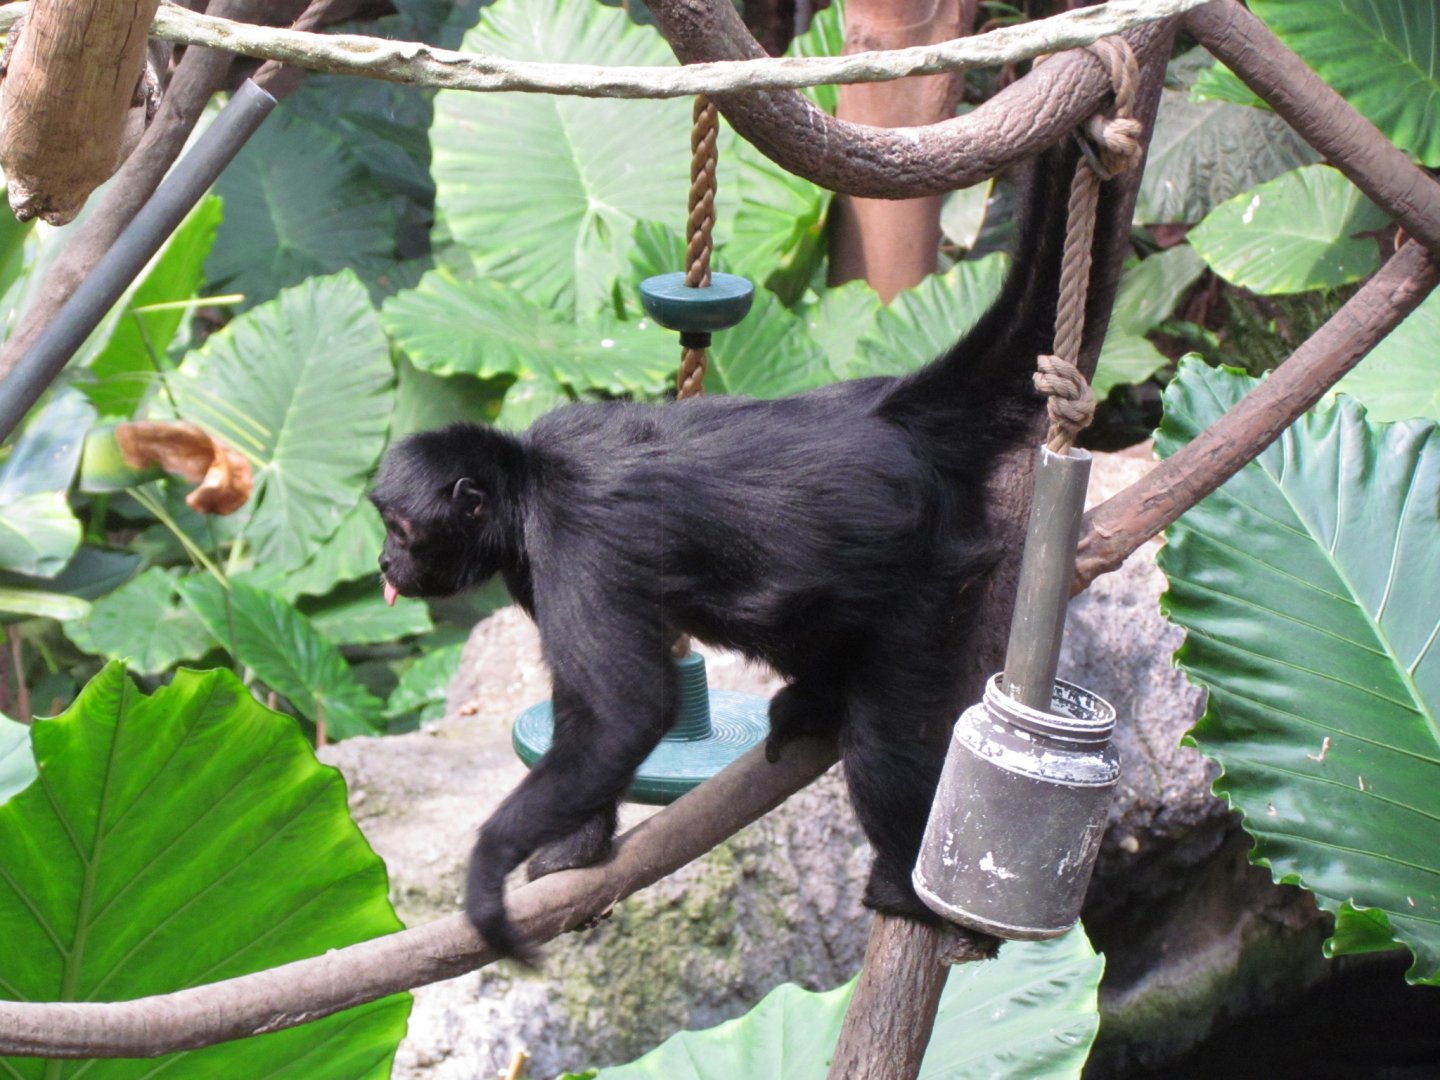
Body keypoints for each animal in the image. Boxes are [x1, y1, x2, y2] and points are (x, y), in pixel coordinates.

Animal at [370, 138, 1124, 963]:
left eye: (400, 529)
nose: (384, 565)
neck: (530, 476)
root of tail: (891, 417)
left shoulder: (573, 537)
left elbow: (625, 712)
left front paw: (489, 872)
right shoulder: (537, 565)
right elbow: (586, 710)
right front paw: (575, 850)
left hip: (925, 578)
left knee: (883, 745)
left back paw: (911, 892)